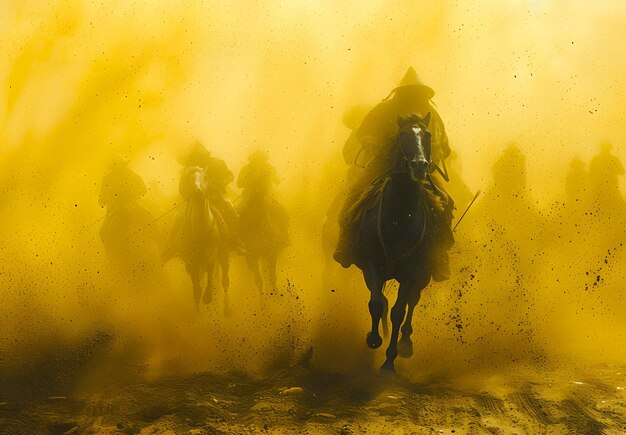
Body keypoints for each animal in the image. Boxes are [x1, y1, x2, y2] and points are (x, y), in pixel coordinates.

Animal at [166, 167, 232, 314]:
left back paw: (227, 308)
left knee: (225, 280)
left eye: (206, 177)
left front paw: (208, 297)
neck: (200, 231)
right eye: (189, 178)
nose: (198, 192)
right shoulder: (190, 263)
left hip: (224, 256)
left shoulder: (211, 257)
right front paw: (196, 311)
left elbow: (210, 276)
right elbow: (196, 289)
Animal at [348, 111, 442, 372]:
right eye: (403, 135)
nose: (419, 166)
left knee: (412, 301)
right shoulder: (371, 267)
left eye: (427, 135)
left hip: (424, 274)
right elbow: (376, 303)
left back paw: (406, 341)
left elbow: (399, 311)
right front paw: (373, 339)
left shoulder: (411, 273)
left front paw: (390, 359)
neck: (399, 219)